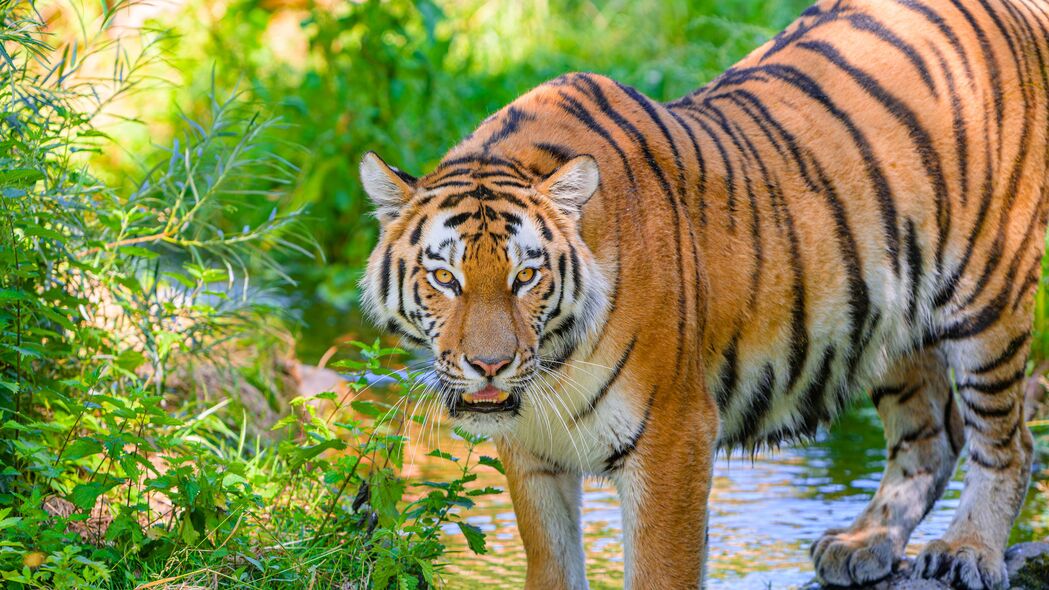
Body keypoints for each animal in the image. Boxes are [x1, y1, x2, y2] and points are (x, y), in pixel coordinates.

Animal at [358, 1, 1049, 583]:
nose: (490, 366)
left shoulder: (675, 437)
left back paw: (966, 550)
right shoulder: (531, 453)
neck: (554, 368)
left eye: (525, 277)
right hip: (887, 319)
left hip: (988, 296)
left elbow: (661, 572)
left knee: (1008, 442)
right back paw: (863, 544)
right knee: (933, 435)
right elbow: (553, 566)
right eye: (445, 278)